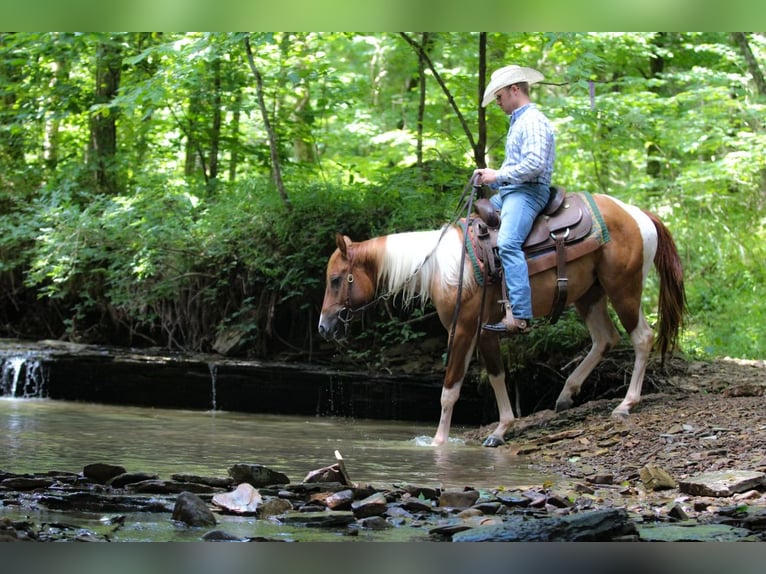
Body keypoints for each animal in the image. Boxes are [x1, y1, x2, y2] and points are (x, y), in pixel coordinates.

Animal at [318, 192, 686, 447]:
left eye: (336, 279)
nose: (323, 327)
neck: (443, 268)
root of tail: (639, 214)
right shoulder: (485, 330)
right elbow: (496, 375)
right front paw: (501, 429)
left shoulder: (463, 329)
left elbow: (450, 389)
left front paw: (438, 442)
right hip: (589, 295)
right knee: (605, 338)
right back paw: (567, 394)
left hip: (624, 289)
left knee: (642, 338)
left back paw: (626, 404)